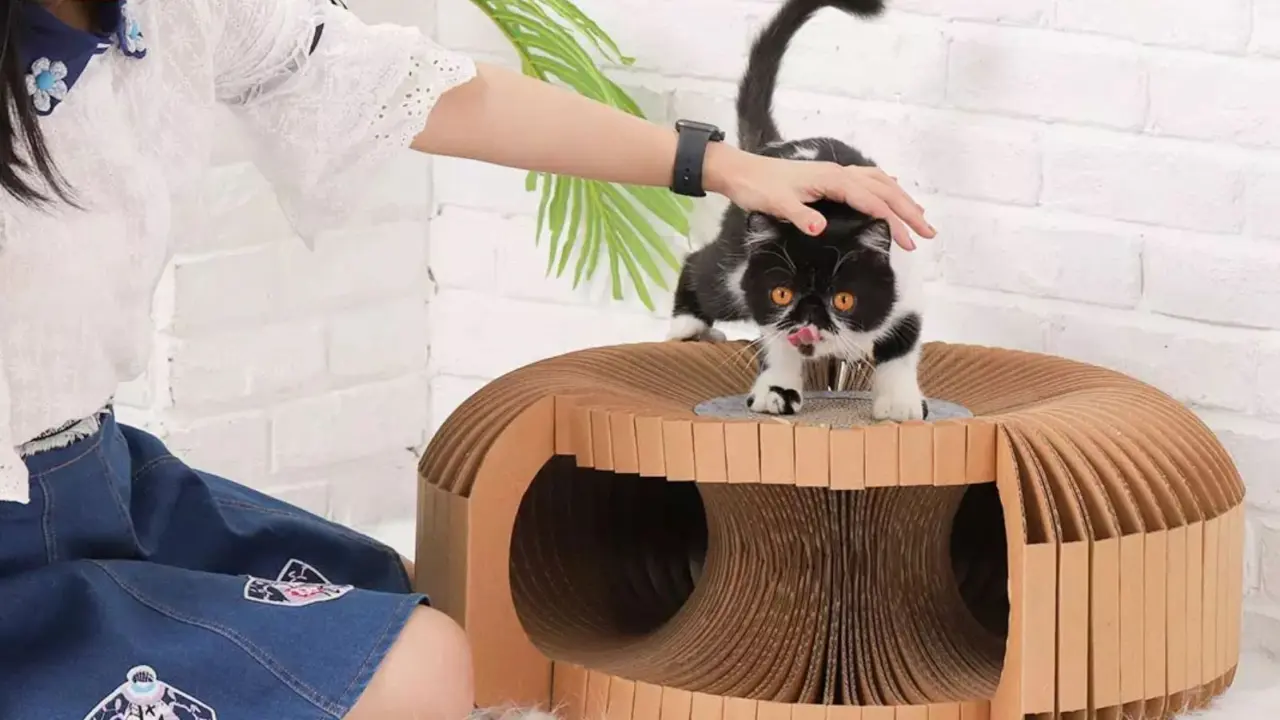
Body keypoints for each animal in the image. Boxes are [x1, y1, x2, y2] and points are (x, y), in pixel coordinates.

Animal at [666, 0, 927, 422]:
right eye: (782, 294)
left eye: (843, 300)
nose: (810, 317)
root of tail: (773, 147)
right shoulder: (759, 291)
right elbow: (775, 337)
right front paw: (777, 390)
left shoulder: (907, 273)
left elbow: (904, 339)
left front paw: (900, 401)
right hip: (736, 260)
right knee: (704, 268)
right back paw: (687, 325)